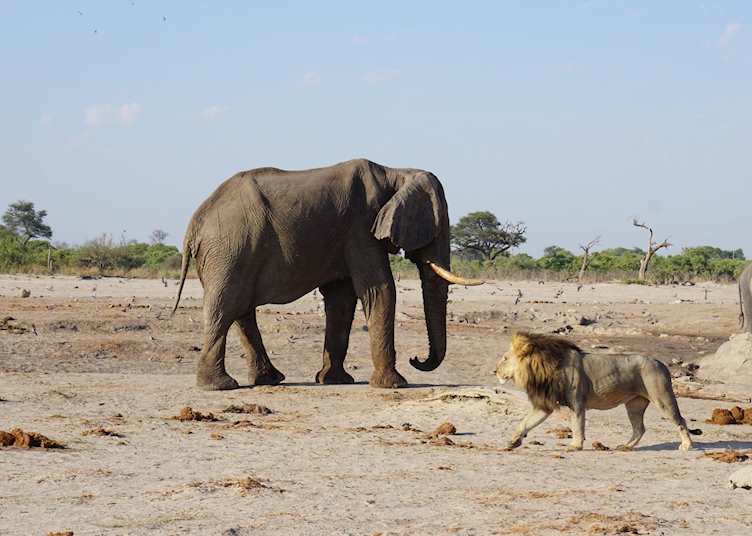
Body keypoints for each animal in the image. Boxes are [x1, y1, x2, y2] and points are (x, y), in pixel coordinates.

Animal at [172, 158, 482, 390]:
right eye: (436, 226)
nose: (416, 358)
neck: (395, 172)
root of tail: (194, 223)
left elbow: (342, 299)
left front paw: (334, 381)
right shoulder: (361, 226)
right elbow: (379, 289)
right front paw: (395, 384)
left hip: (229, 253)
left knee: (241, 311)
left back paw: (269, 380)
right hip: (229, 249)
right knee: (226, 307)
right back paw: (221, 386)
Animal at [495, 332, 698, 451]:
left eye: (505, 358)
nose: (494, 371)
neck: (542, 368)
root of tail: (661, 363)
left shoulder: (577, 403)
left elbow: (577, 426)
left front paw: (575, 446)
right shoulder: (544, 405)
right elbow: (524, 423)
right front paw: (512, 442)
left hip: (662, 398)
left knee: (680, 420)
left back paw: (687, 445)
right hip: (634, 404)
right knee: (639, 428)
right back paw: (625, 446)